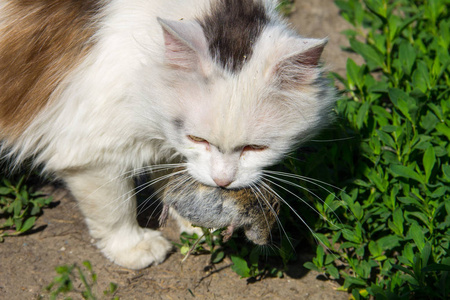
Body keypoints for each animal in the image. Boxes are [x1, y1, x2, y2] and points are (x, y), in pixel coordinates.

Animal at [0, 0, 334, 270]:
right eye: (198, 139)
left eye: (255, 148)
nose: (223, 181)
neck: (145, 60)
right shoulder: (90, 150)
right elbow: (116, 209)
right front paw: (133, 248)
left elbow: (176, 181)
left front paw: (198, 224)